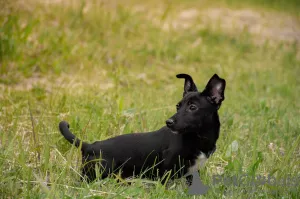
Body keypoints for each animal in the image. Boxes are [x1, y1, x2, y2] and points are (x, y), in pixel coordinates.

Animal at [59, 74, 226, 184]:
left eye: (193, 107)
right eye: (178, 106)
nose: (168, 122)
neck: (196, 137)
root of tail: (90, 146)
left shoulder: (192, 173)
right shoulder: (166, 169)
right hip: (95, 175)